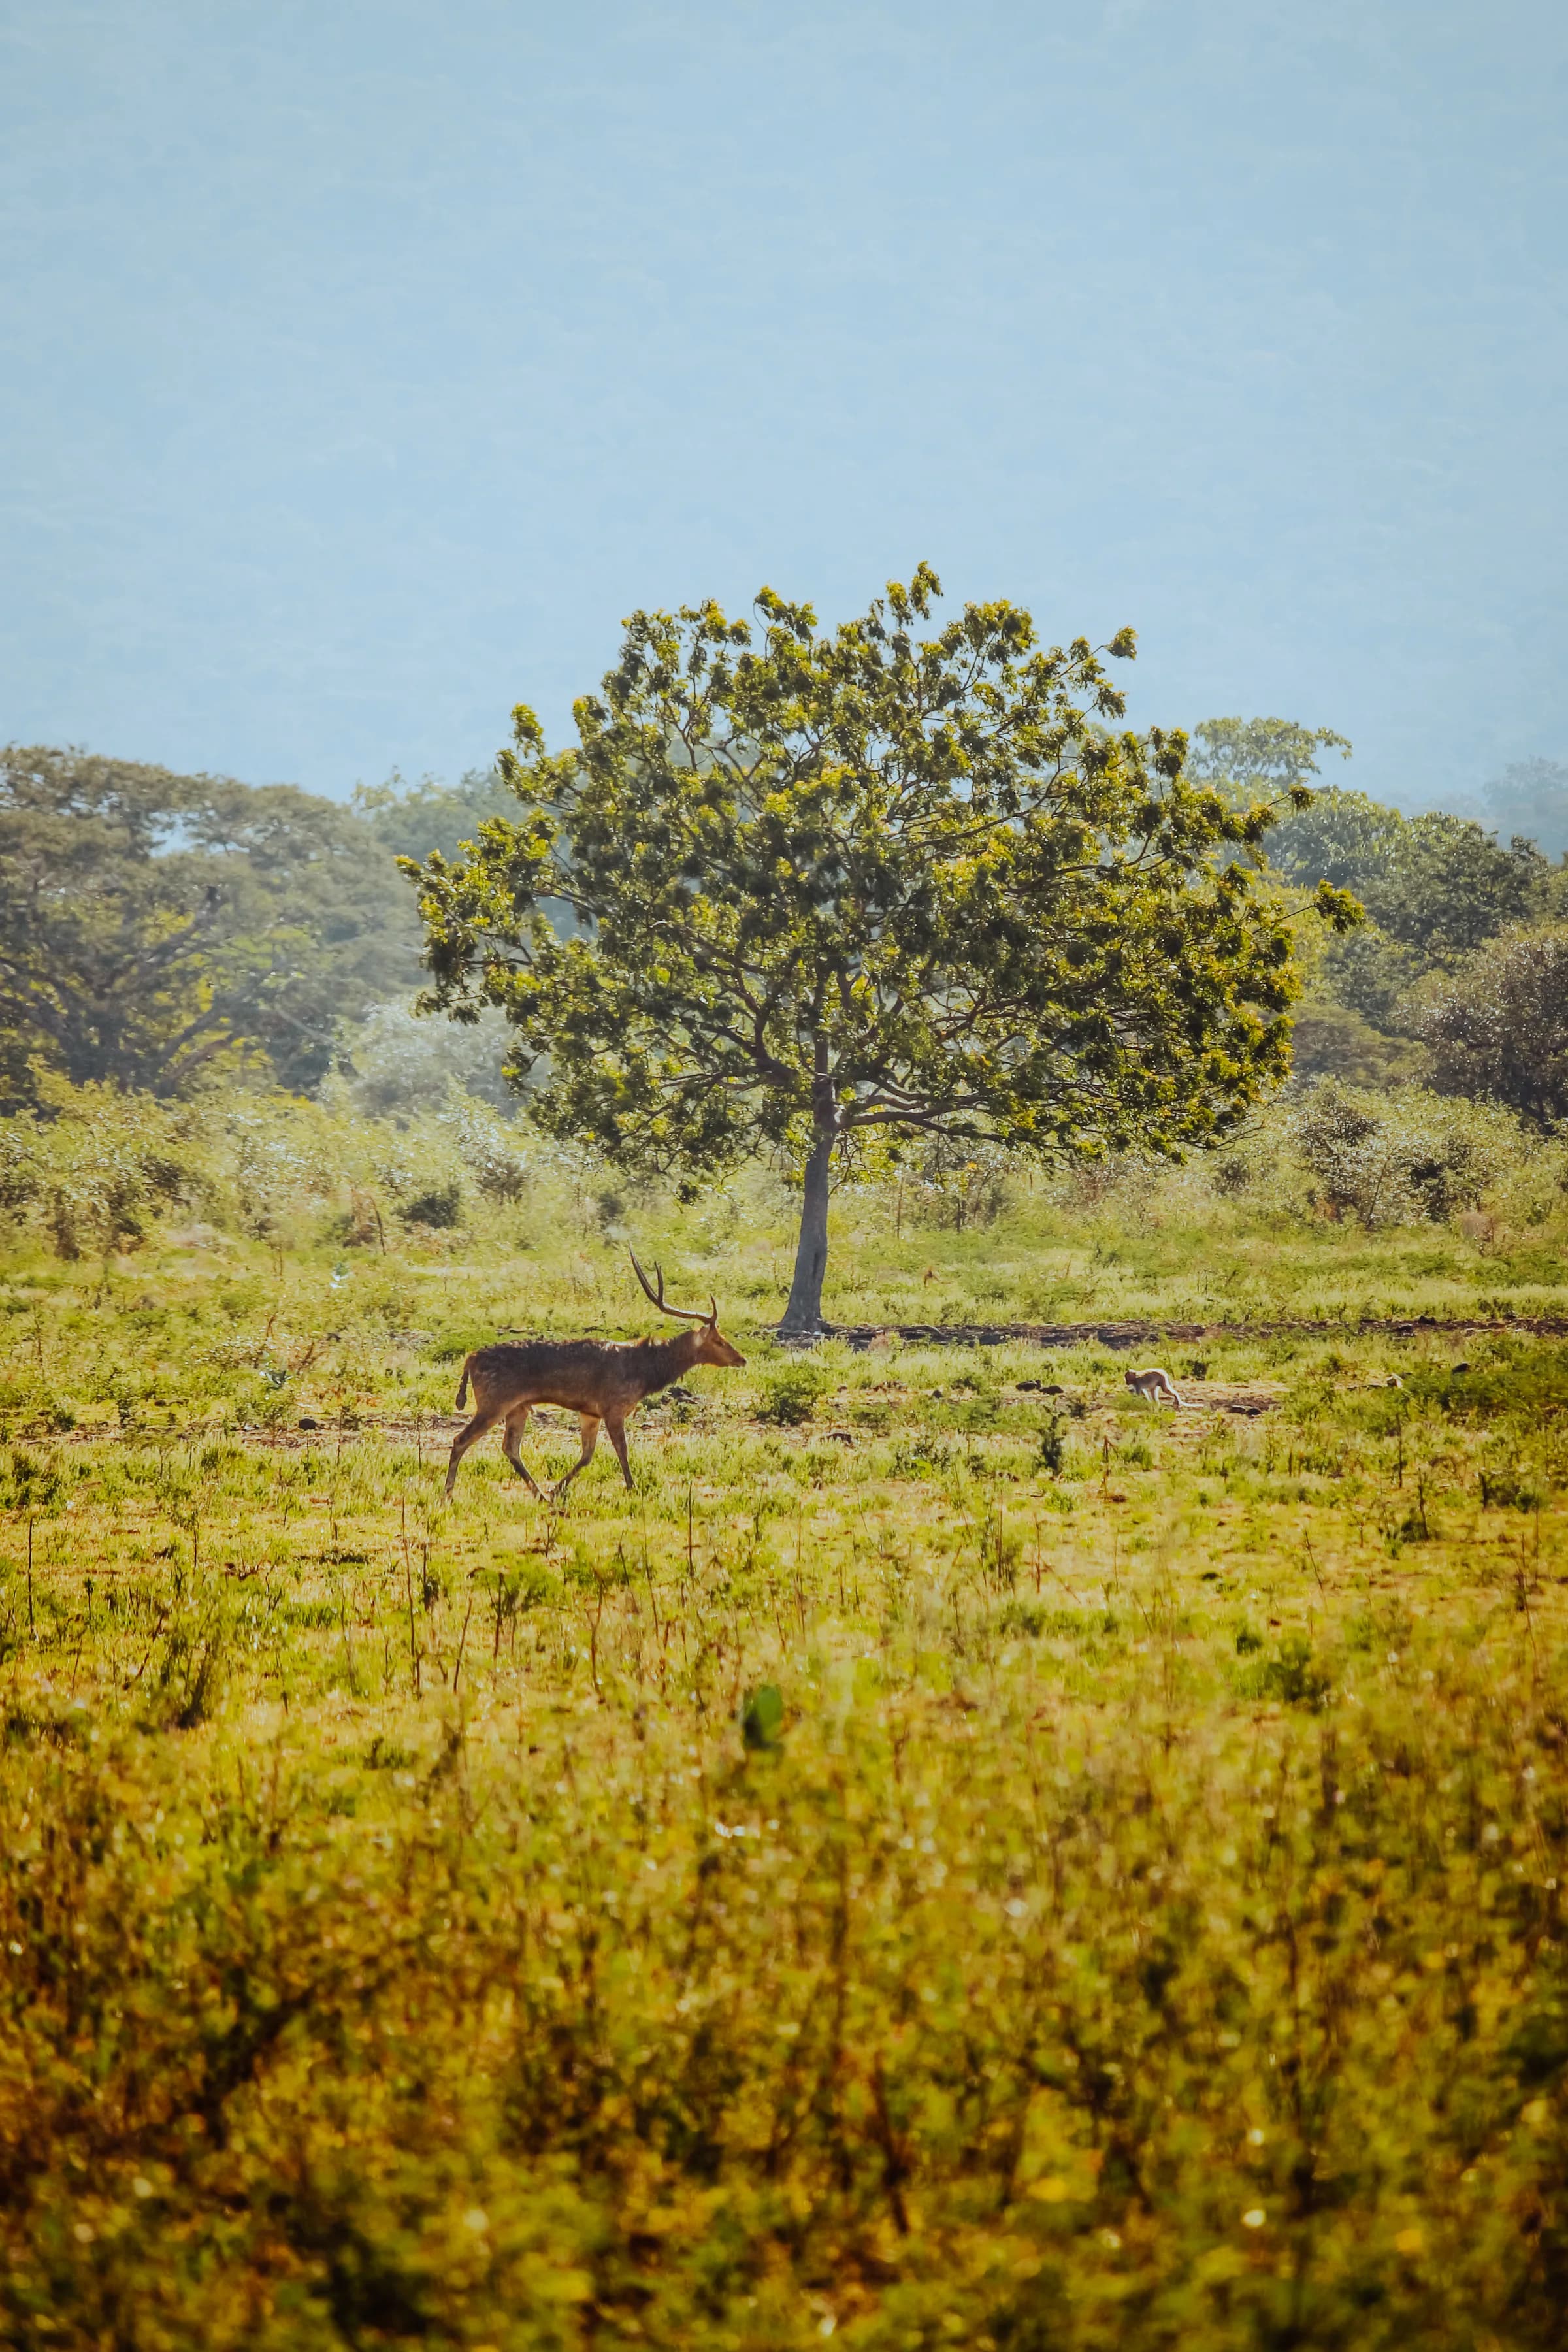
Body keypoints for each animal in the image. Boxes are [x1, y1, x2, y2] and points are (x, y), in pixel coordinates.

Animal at [443, 1252, 746, 1502]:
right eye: (719, 1340)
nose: (741, 1359)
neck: (646, 1373)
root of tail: (471, 1359)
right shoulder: (613, 1406)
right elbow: (622, 1451)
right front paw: (632, 1487)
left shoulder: (590, 1412)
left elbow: (587, 1456)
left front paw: (556, 1489)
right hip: (493, 1402)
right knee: (461, 1440)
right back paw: (448, 1493)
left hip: (517, 1407)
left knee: (510, 1448)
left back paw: (539, 1494)